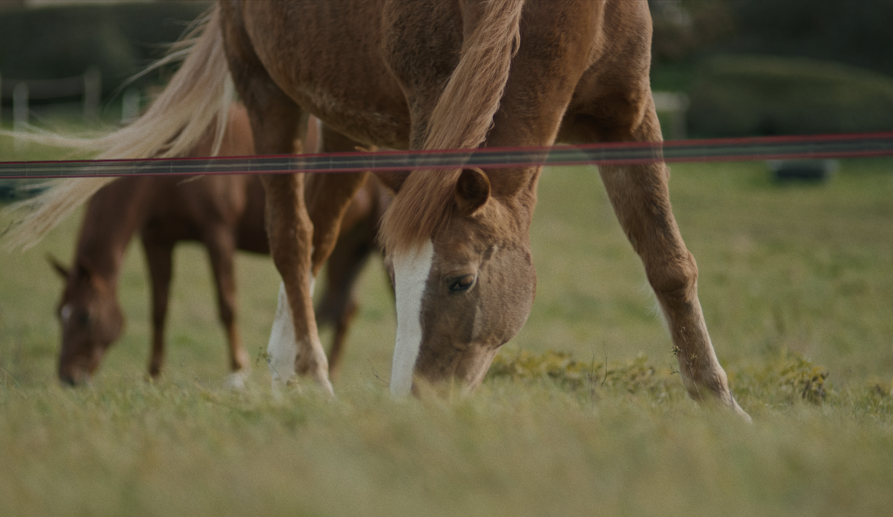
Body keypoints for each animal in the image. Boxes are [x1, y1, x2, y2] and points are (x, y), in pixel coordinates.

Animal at [8, 1, 752, 420]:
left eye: (460, 281)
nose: (417, 405)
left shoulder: (628, 117)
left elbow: (668, 264)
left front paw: (720, 405)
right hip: (269, 92)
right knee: (292, 237)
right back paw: (309, 377)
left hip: (348, 131)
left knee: (316, 238)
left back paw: (283, 369)